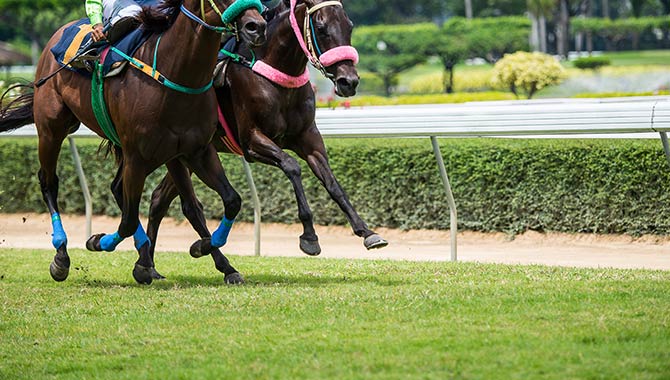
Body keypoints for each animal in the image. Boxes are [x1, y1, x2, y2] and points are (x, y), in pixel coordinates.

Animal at [0, 0, 268, 284]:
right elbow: (128, 220)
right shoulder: (138, 156)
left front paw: (201, 249)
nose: (256, 26)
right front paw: (98, 241)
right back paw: (62, 256)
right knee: (49, 182)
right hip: (52, 128)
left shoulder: (196, 151)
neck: (177, 74)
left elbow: (230, 200)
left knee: (126, 191)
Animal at [146, 0, 388, 274]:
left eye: (350, 25)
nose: (350, 81)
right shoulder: (252, 141)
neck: (276, 75)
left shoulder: (309, 139)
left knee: (159, 199)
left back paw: (153, 265)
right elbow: (292, 166)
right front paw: (309, 236)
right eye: (321, 27)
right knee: (182, 204)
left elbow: (332, 183)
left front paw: (366, 231)